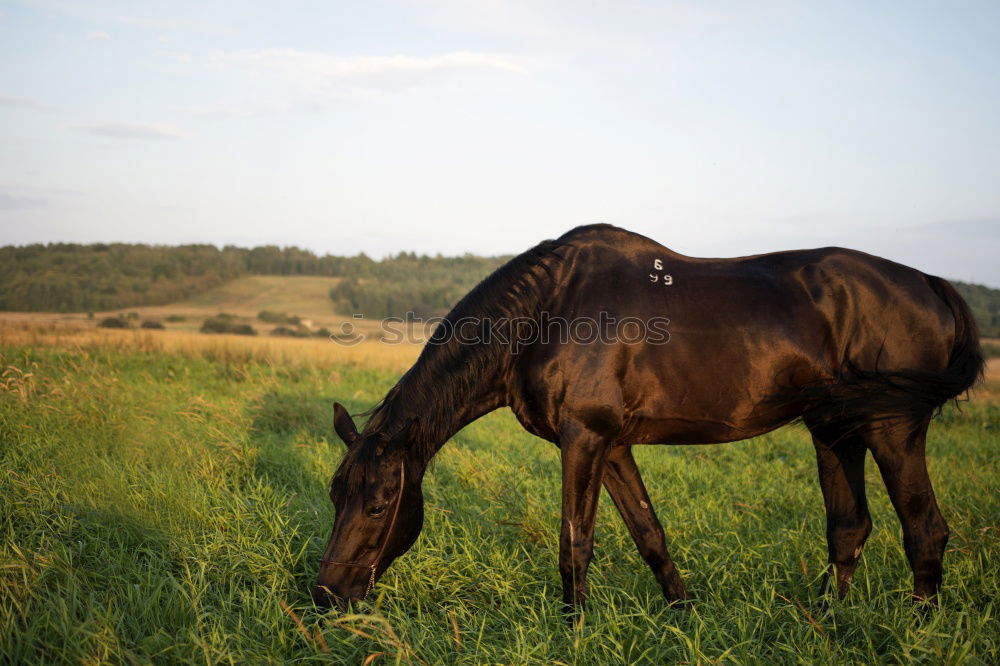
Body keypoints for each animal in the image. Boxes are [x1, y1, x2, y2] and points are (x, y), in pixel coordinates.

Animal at [312, 226, 984, 608]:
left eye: (380, 505)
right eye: (334, 494)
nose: (327, 594)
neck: (545, 312)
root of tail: (930, 282)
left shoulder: (583, 439)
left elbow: (575, 545)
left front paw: (574, 629)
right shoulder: (612, 446)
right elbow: (650, 535)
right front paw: (683, 617)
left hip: (892, 430)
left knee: (925, 531)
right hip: (834, 430)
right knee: (848, 529)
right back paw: (829, 623)